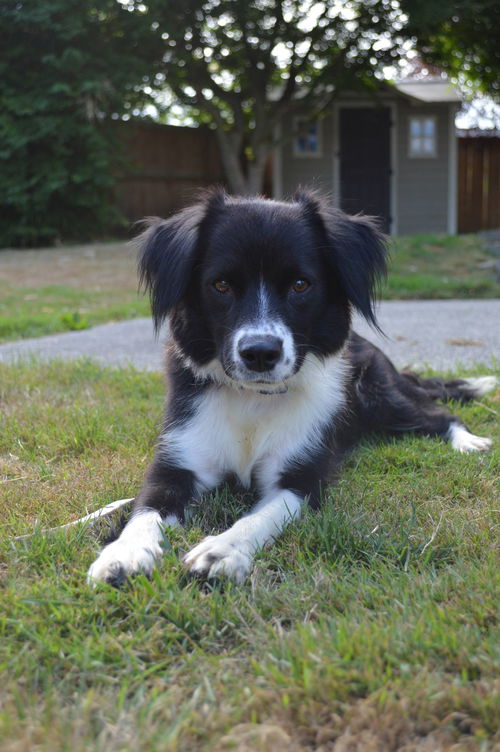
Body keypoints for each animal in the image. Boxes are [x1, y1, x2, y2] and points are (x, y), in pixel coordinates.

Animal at [88, 189, 494, 588]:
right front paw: (125, 552)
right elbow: (145, 509)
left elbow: (259, 517)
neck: (252, 398)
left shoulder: (302, 478)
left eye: (300, 285)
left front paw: (222, 551)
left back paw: (469, 442)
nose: (260, 353)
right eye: (221, 285)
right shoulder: (176, 463)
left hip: (382, 396)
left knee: (440, 415)